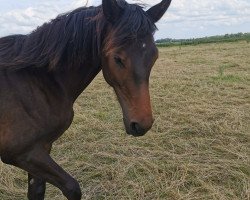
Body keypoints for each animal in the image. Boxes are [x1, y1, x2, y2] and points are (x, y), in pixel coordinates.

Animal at [0, 0, 172, 199]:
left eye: (154, 56)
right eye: (117, 58)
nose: (142, 124)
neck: (36, 80)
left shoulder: (40, 148)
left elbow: (37, 191)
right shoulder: (21, 153)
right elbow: (72, 188)